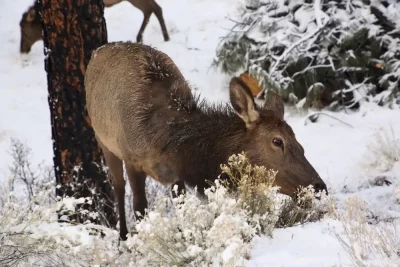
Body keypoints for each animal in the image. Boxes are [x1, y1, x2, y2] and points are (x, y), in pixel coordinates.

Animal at [85, 41, 328, 241]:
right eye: (277, 141)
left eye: (297, 140)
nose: (319, 186)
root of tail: (96, 52)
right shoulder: (132, 159)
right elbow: (139, 208)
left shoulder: (177, 175)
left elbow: (182, 208)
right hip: (103, 140)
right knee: (118, 187)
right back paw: (123, 237)